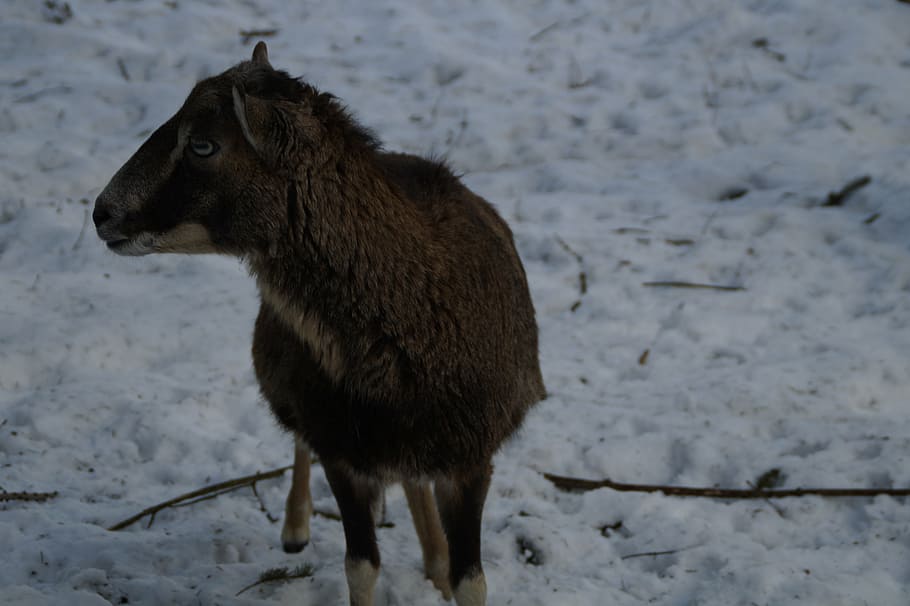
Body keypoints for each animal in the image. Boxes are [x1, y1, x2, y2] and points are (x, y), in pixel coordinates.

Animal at [93, 42, 545, 606]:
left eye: (202, 144)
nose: (103, 213)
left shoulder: (472, 457)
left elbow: (472, 580)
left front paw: (446, 570)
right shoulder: (340, 449)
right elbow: (361, 566)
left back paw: (433, 562)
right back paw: (297, 529)